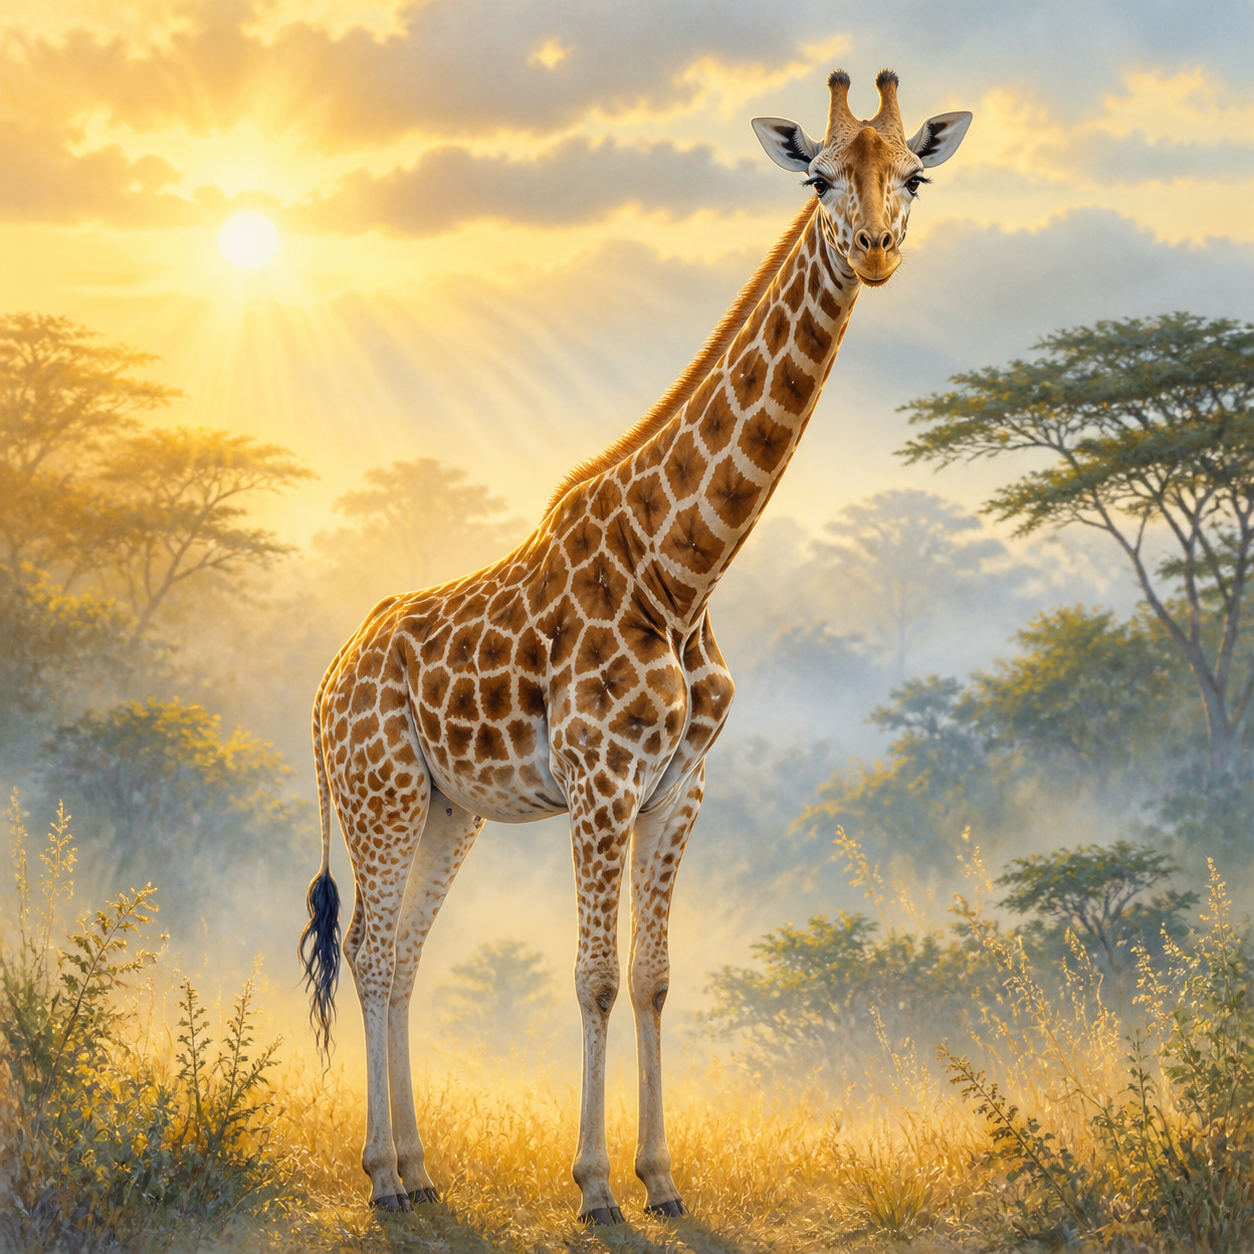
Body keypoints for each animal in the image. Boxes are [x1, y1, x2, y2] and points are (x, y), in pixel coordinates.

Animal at [300, 69, 971, 1221]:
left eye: (915, 175)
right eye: (820, 176)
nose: (878, 247)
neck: (685, 573)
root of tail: (327, 684)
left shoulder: (678, 788)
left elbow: (654, 979)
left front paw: (661, 1179)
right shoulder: (601, 781)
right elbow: (596, 978)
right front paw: (595, 1187)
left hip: (448, 810)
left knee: (401, 958)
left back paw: (419, 1171)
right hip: (378, 792)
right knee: (373, 948)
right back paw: (382, 1177)